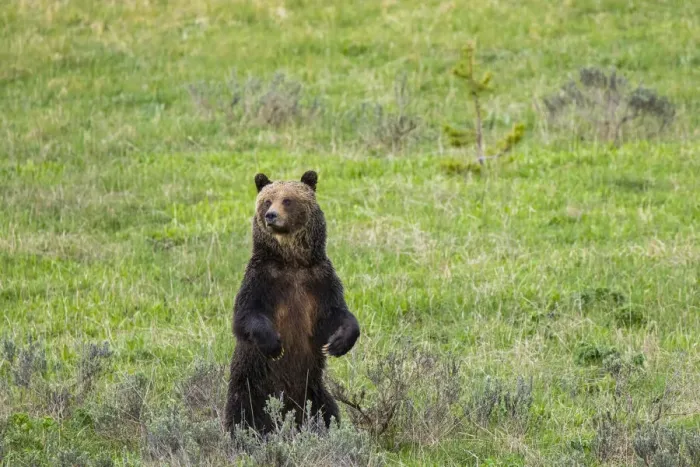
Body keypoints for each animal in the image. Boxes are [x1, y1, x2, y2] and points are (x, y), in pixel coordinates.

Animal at [224, 170, 360, 434]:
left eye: (287, 200)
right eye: (267, 200)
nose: (271, 215)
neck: (292, 261)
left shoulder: (319, 281)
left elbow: (335, 313)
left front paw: (338, 343)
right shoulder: (262, 279)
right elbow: (246, 315)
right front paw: (274, 345)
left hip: (313, 391)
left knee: (327, 412)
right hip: (250, 388)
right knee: (242, 417)